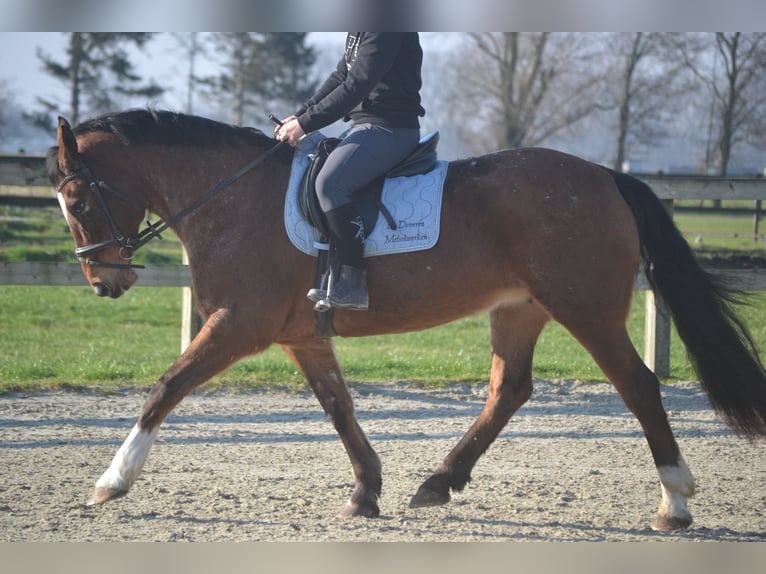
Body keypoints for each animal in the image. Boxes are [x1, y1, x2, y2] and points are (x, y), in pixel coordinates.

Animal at [49, 110, 766, 532]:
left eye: (78, 200)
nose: (104, 282)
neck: (232, 197)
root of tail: (606, 176)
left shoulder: (236, 325)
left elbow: (166, 387)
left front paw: (111, 481)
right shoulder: (300, 335)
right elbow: (338, 407)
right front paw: (366, 491)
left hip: (585, 309)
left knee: (638, 385)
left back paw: (675, 501)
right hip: (519, 310)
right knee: (509, 389)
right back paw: (438, 482)